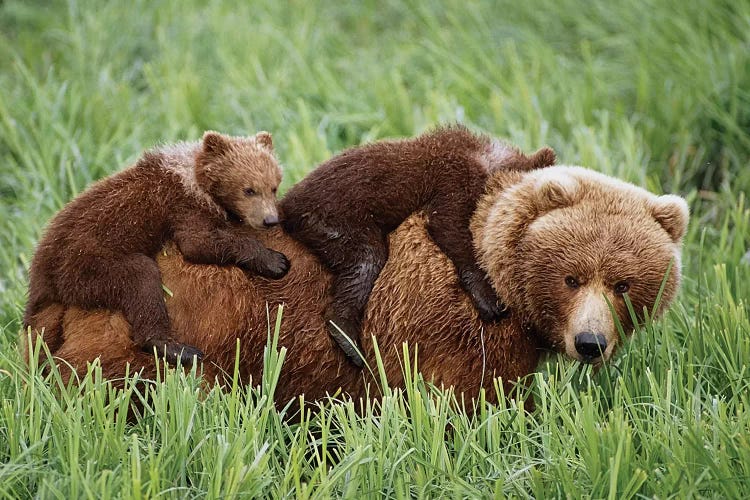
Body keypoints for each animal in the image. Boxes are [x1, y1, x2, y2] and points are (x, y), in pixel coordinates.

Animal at [22, 131, 288, 368]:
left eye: (274, 186)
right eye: (249, 189)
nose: (270, 220)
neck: (193, 177)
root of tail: (39, 271)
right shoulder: (182, 206)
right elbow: (199, 243)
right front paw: (276, 260)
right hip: (85, 264)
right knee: (142, 281)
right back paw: (180, 350)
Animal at [22, 156, 692, 406]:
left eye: (625, 283)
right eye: (572, 276)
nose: (590, 343)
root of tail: (54, 297)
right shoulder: (443, 333)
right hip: (169, 331)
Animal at [280, 126, 556, 368]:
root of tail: (286, 205)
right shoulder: (454, 180)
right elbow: (448, 226)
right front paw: (488, 299)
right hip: (331, 221)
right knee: (366, 260)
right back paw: (349, 342)